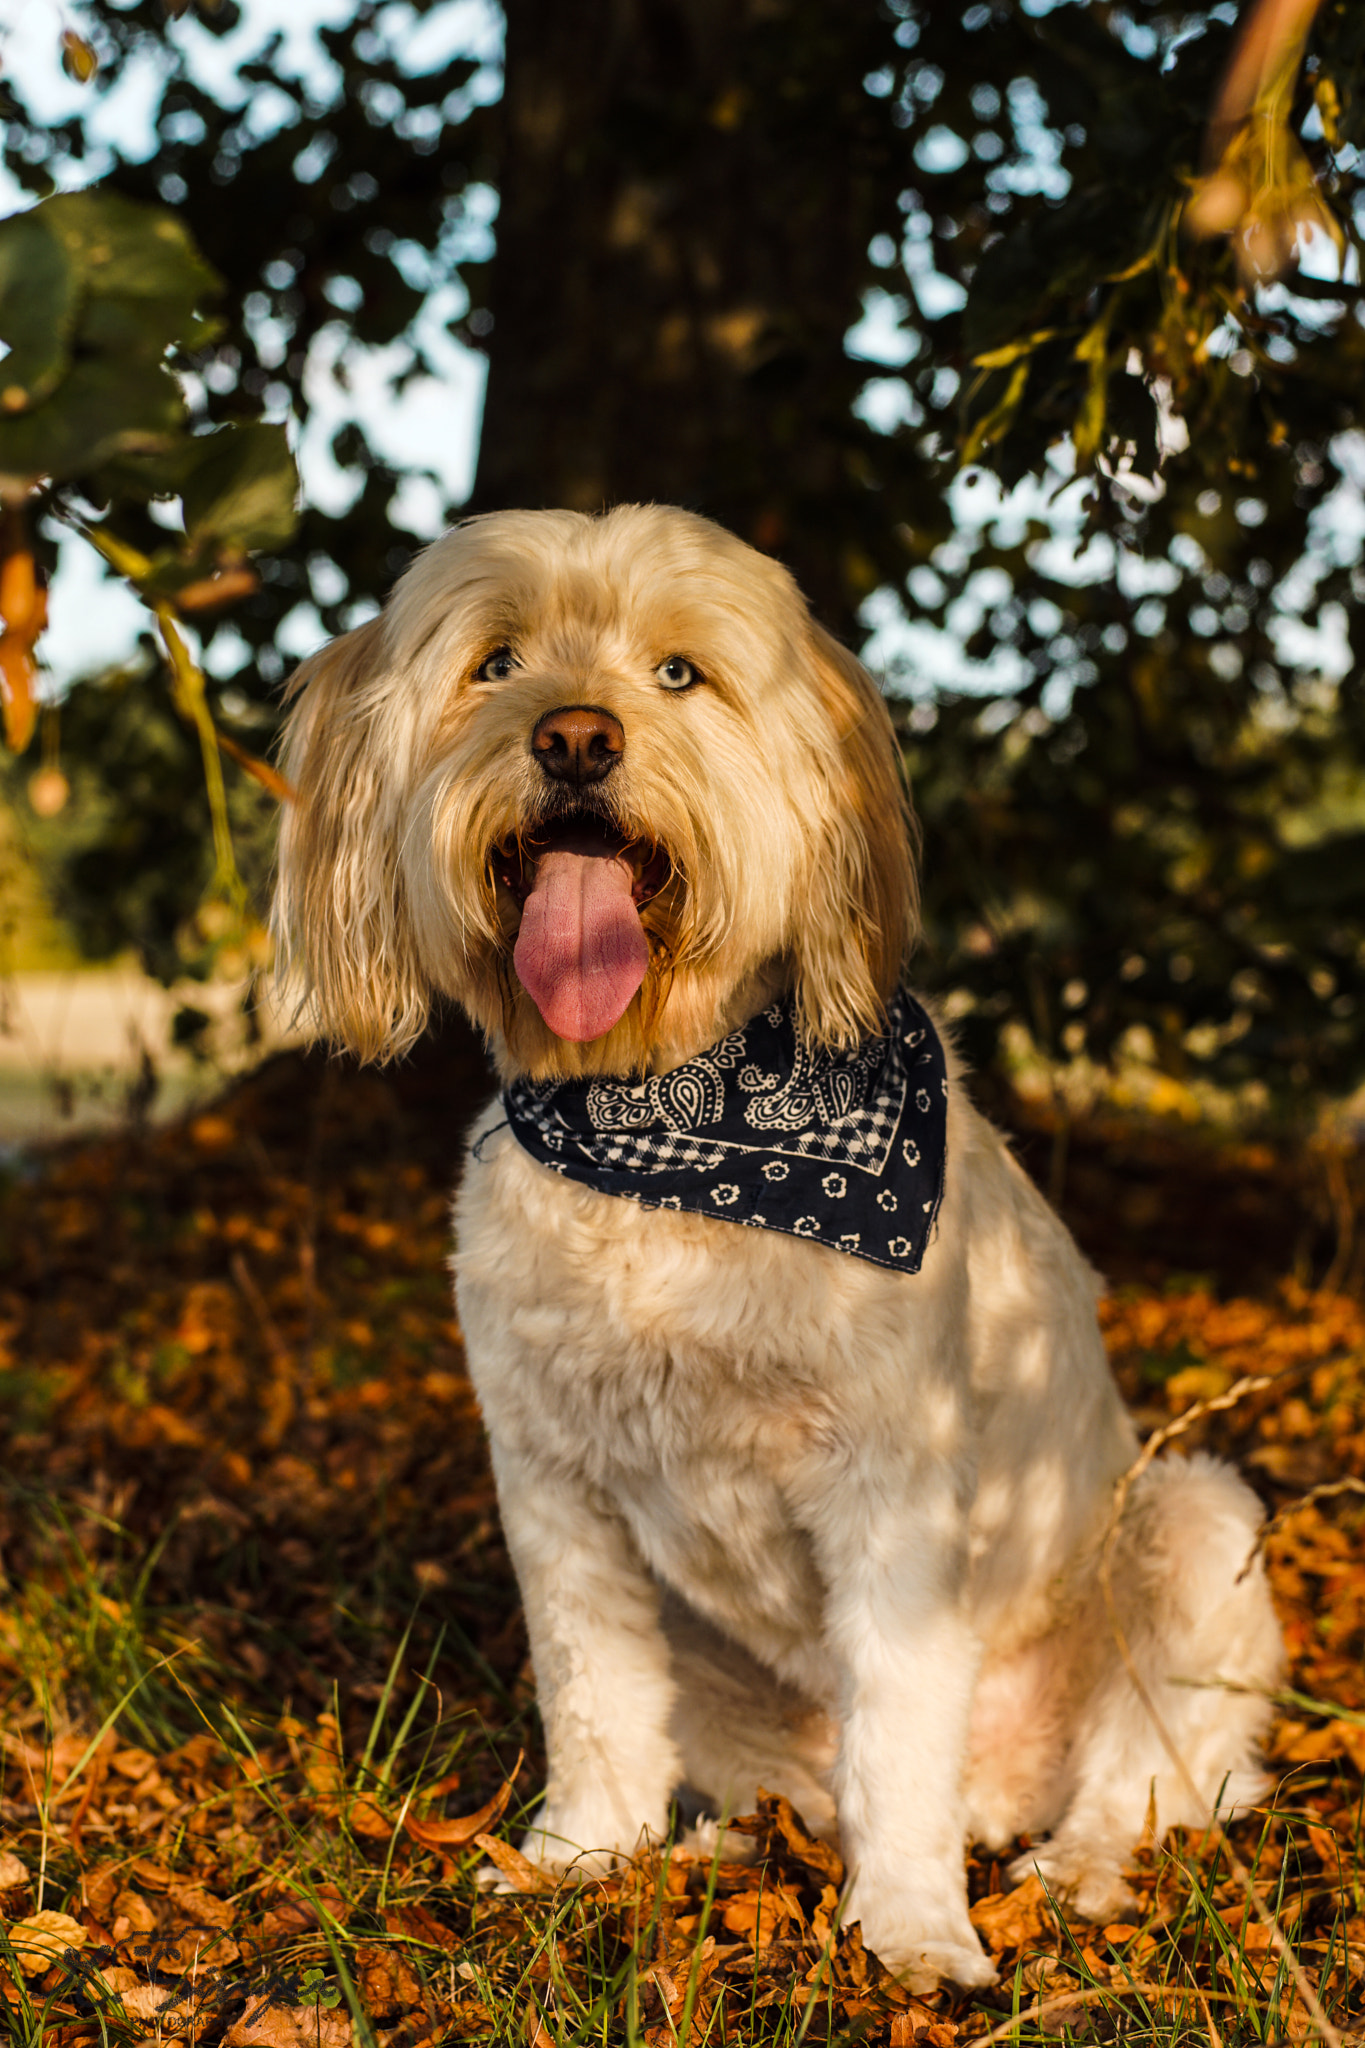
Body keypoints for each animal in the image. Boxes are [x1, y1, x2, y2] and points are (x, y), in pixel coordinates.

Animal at [274, 503, 1285, 1990]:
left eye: (680, 674)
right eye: (495, 661)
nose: (574, 737)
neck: (661, 1127)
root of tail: (1004, 1795)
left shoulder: (893, 1488)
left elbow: (900, 1721)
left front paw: (911, 1926)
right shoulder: (552, 1485)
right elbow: (592, 1694)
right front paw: (581, 1852)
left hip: (1188, 1526)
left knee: (1139, 1779)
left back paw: (1074, 1871)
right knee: (760, 1781)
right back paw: (718, 1847)